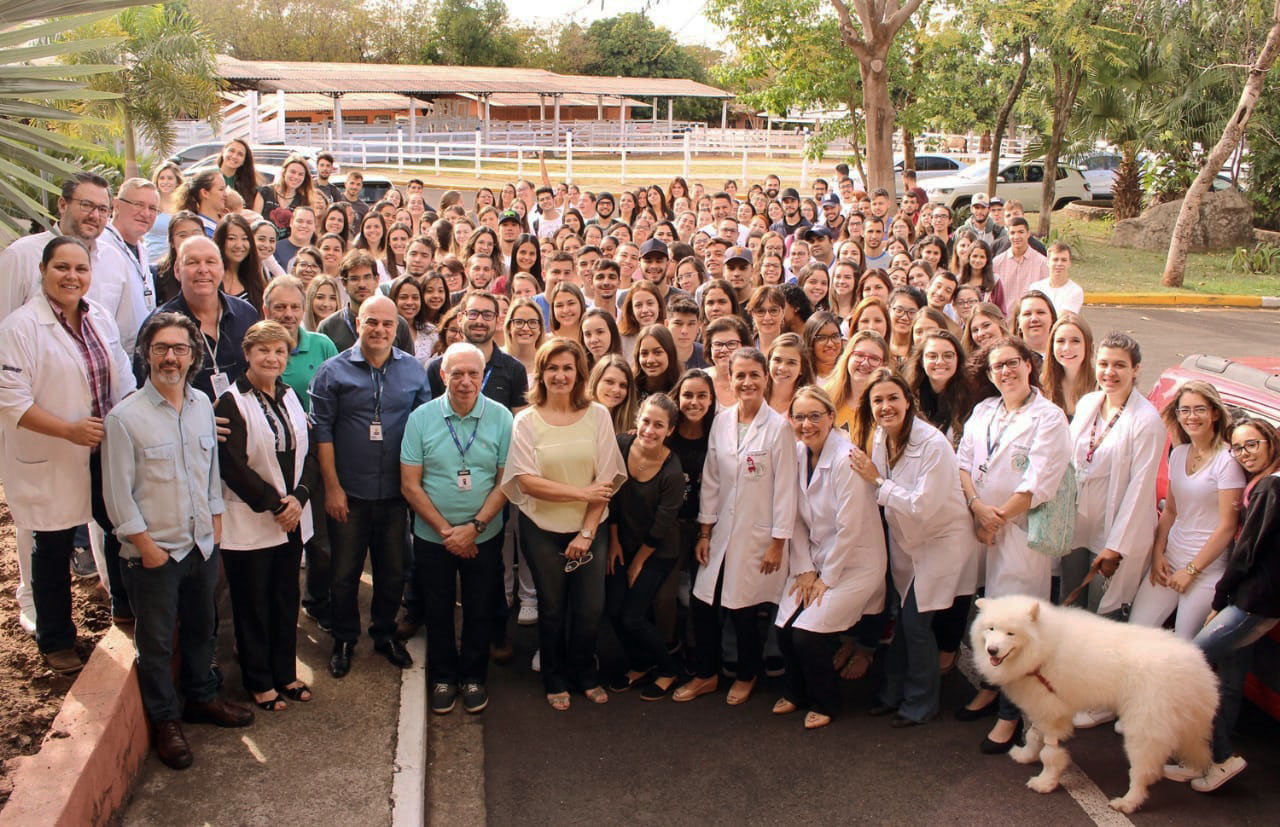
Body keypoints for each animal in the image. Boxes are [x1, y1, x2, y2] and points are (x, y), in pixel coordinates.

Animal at [972, 596, 1213, 814]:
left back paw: (1127, 803)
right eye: (991, 628)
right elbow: (1033, 736)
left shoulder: (1053, 715)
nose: (992, 650)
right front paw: (1025, 756)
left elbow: (1050, 753)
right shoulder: (1042, 706)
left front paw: (1045, 782)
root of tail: (1196, 666)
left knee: (1143, 772)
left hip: (1144, 729)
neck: (1044, 646)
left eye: (1010, 633)